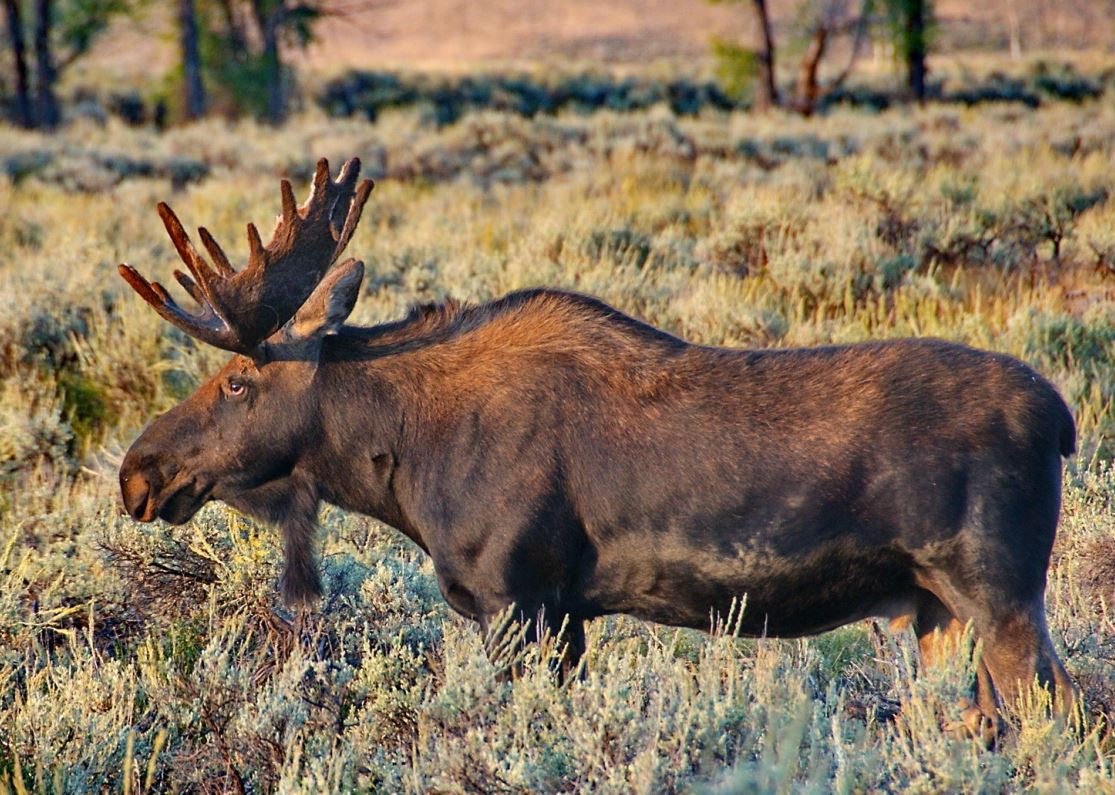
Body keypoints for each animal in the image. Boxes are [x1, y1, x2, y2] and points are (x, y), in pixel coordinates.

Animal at [119, 158, 1079, 735]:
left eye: (236, 381)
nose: (139, 471)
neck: (405, 463)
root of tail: (1061, 420)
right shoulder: (569, 612)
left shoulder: (517, 597)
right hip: (933, 608)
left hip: (996, 590)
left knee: (1060, 714)